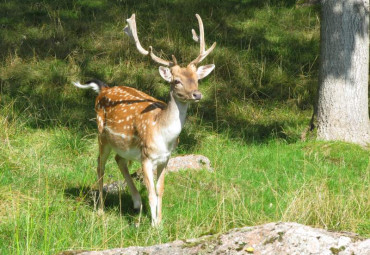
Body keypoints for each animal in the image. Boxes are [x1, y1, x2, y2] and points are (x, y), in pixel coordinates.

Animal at [72, 13, 215, 225]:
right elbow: (151, 192)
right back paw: (101, 210)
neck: (163, 134)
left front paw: (160, 222)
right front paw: (153, 225)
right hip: (101, 135)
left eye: (197, 79)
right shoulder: (146, 156)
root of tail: (104, 88)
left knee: (119, 160)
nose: (197, 94)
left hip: (125, 147)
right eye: (176, 81)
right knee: (99, 165)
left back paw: (136, 203)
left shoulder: (166, 158)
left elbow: (160, 190)